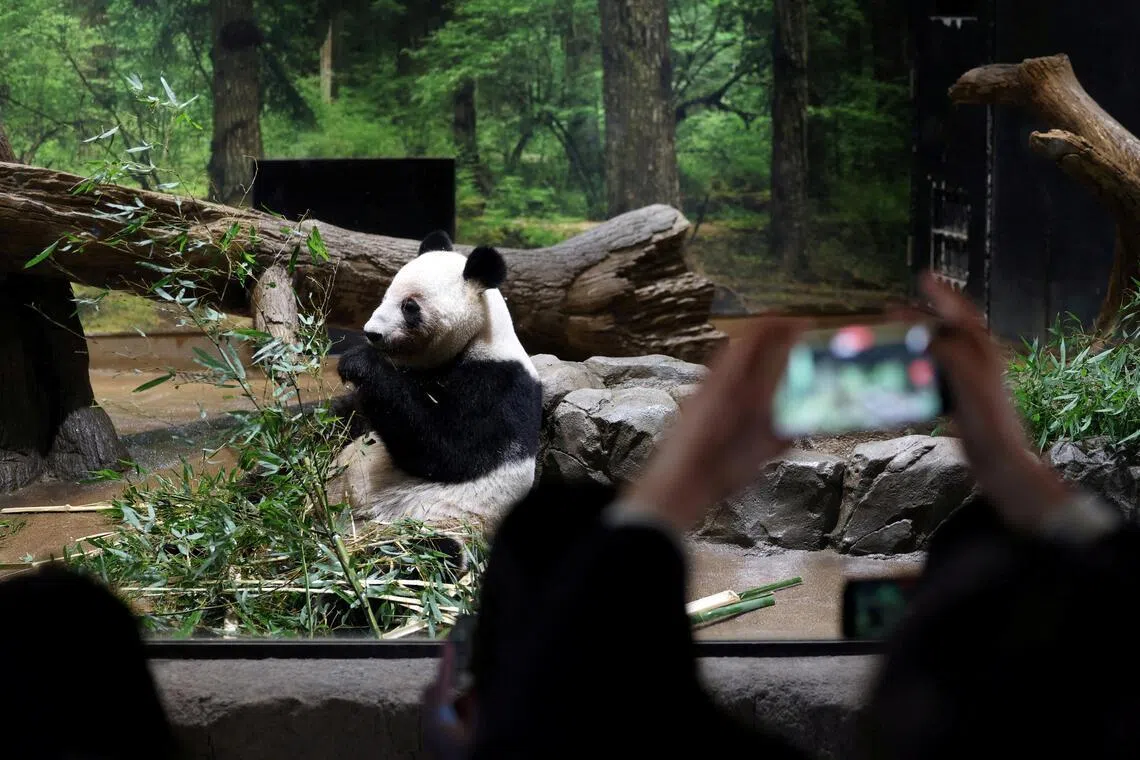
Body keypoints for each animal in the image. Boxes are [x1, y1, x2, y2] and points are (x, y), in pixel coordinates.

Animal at [327, 230, 543, 526]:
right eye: (385, 296)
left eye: (409, 306)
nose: (372, 333)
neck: (477, 337)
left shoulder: (499, 384)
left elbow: (449, 449)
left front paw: (358, 362)